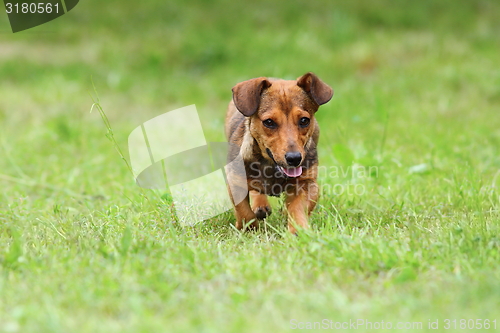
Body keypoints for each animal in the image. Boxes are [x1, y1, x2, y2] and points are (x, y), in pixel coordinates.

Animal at [225, 72, 334, 233]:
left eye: (304, 120)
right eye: (269, 122)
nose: (294, 158)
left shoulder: (308, 184)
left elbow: (297, 208)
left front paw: (297, 230)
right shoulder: (235, 181)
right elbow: (244, 211)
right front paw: (250, 229)